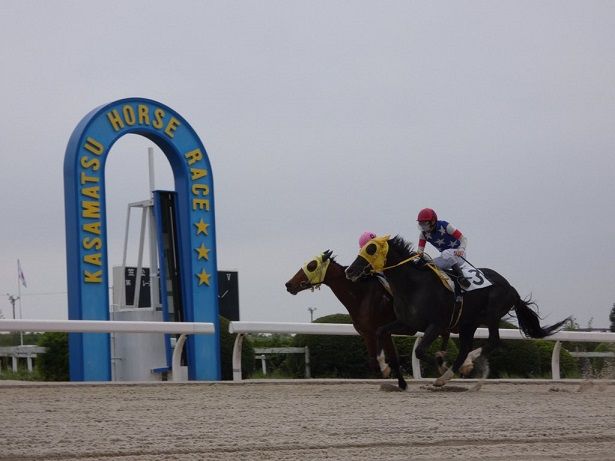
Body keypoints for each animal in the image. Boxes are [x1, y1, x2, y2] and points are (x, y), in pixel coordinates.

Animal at [286, 248, 450, 388]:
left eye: (312, 265)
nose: (288, 284)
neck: (362, 296)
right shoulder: (367, 333)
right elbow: (373, 363)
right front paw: (391, 375)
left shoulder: (384, 331)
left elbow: (393, 358)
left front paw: (399, 380)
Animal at [348, 235, 572, 386]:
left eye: (371, 249)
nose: (350, 271)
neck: (413, 285)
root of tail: (511, 288)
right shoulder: (407, 323)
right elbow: (380, 331)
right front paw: (383, 365)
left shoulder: (436, 325)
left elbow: (419, 351)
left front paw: (441, 365)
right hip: (467, 323)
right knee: (465, 347)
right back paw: (450, 374)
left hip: (491, 315)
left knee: (492, 341)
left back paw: (460, 367)